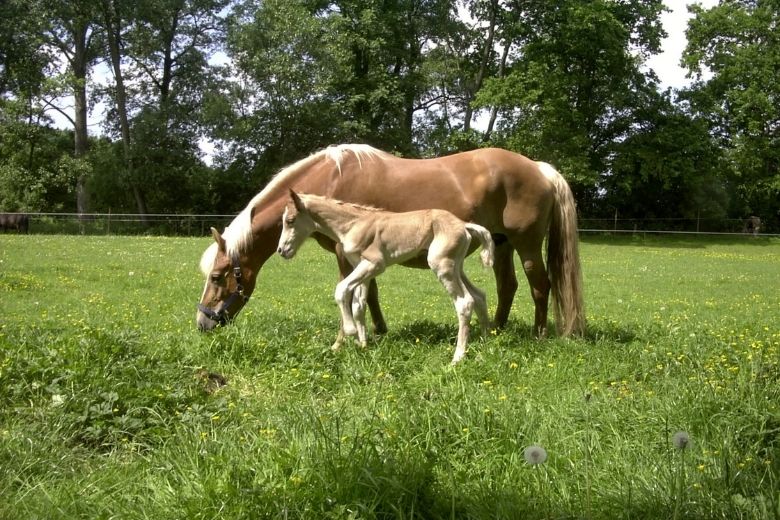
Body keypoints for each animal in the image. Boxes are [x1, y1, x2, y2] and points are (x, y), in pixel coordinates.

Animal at [197, 142, 584, 338]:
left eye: (216, 277)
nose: (203, 323)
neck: (330, 180)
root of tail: (539, 168)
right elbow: (370, 294)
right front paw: (378, 330)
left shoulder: (344, 254)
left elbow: (352, 293)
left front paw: (350, 335)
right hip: (502, 245)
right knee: (507, 286)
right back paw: (498, 330)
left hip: (527, 245)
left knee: (540, 285)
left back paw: (539, 333)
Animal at [276, 189, 494, 364]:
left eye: (290, 220)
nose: (281, 251)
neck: (353, 224)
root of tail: (464, 225)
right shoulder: (362, 268)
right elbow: (358, 305)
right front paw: (363, 345)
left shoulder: (374, 264)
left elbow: (341, 290)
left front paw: (351, 331)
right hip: (456, 267)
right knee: (479, 295)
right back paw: (485, 342)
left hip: (441, 265)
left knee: (464, 302)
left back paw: (457, 357)